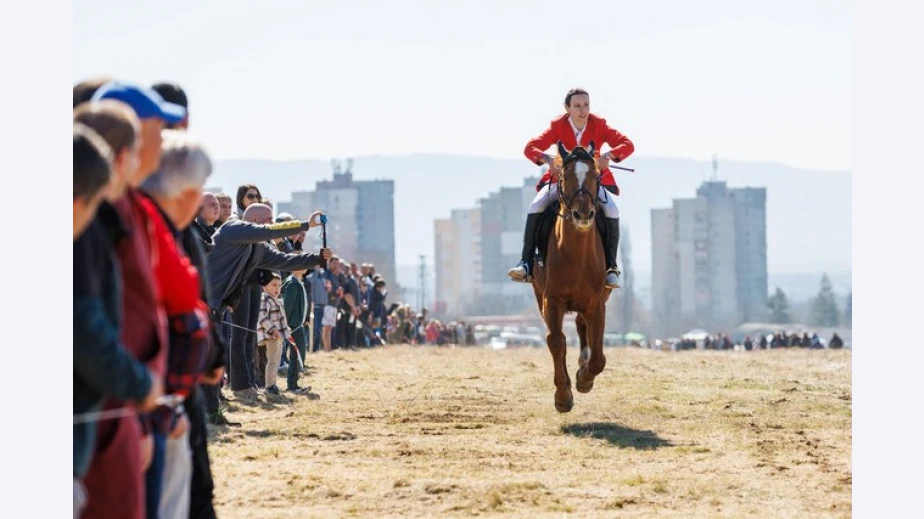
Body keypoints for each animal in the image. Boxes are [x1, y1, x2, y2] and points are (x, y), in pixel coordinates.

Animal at [531, 141, 613, 413]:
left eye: (596, 175)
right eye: (564, 175)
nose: (583, 215)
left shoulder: (597, 304)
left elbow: (598, 358)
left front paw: (584, 378)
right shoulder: (551, 300)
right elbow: (556, 341)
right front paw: (563, 395)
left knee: (581, 325)